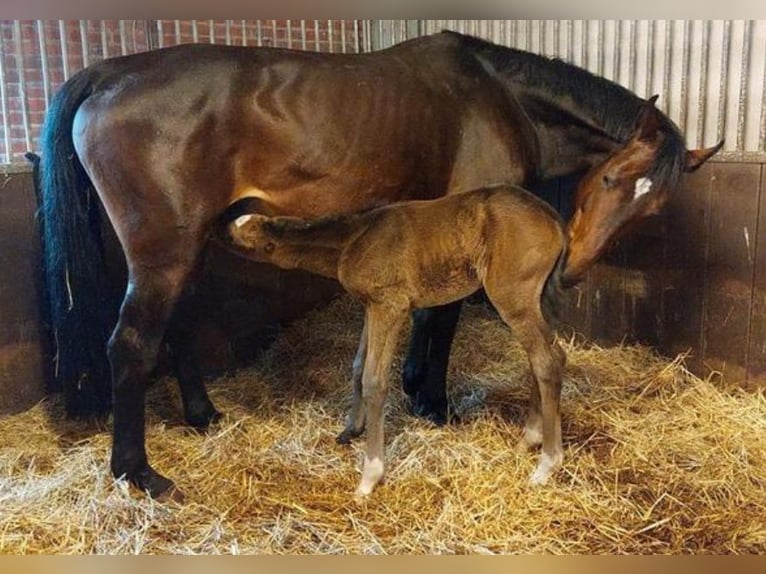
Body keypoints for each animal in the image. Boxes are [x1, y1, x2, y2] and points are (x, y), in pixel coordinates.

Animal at [37, 31, 720, 500]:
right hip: (163, 251)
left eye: (653, 207)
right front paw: (430, 399)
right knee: (130, 345)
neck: (503, 97)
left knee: (174, 327)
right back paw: (138, 472)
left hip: (182, 249)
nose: (573, 267)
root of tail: (106, 73)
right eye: (609, 178)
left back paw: (203, 417)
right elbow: (440, 320)